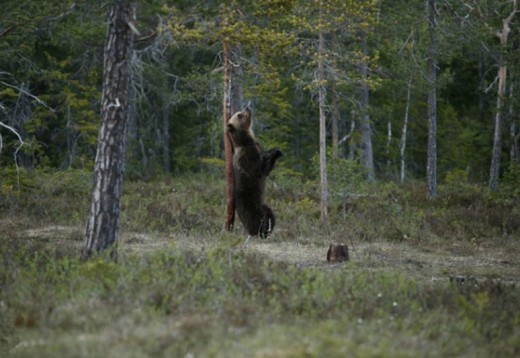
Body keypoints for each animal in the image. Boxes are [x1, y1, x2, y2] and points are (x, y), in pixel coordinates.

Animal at [226, 106, 282, 238]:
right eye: (239, 115)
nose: (247, 107)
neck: (248, 141)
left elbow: (267, 169)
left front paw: (277, 151)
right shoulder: (246, 157)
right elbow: (258, 169)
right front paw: (269, 153)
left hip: (263, 206)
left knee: (270, 214)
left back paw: (269, 227)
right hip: (250, 206)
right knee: (256, 221)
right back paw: (261, 231)